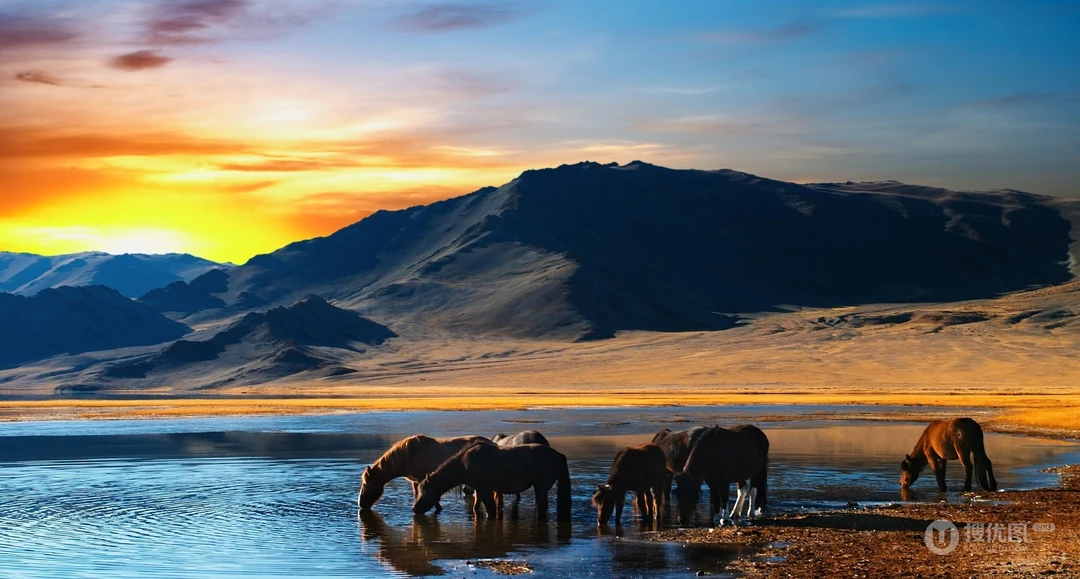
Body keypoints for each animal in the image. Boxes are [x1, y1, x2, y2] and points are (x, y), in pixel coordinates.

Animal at [358, 434, 489, 512]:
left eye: (365, 484)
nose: (361, 503)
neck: (407, 455)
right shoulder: (416, 481)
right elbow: (418, 495)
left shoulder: (422, 480)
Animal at [413, 442, 572, 522]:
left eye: (425, 493)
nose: (414, 509)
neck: (465, 464)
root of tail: (558, 456)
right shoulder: (478, 489)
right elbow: (476, 506)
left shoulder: (484, 489)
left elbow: (490, 508)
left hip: (540, 487)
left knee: (542, 506)